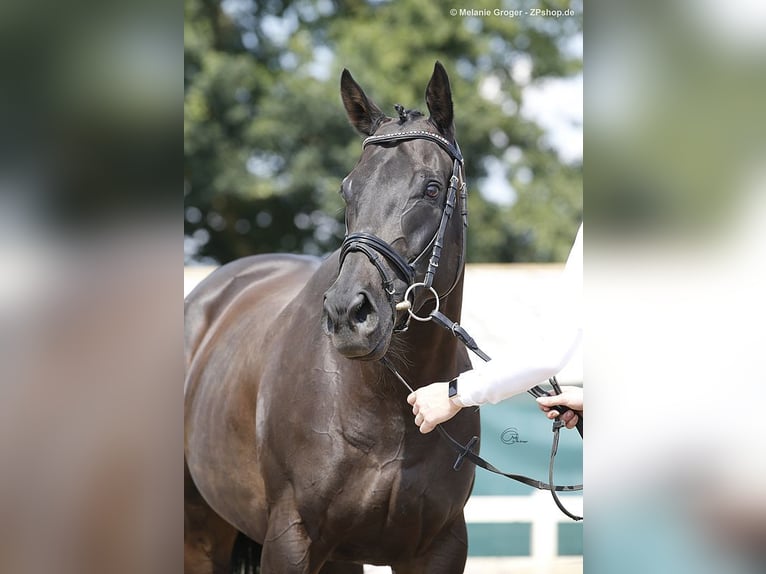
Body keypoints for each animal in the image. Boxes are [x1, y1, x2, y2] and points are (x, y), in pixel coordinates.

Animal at [185, 63, 480, 574]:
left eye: (431, 188)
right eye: (348, 188)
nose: (347, 312)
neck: (386, 406)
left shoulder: (439, 548)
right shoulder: (290, 540)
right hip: (200, 535)